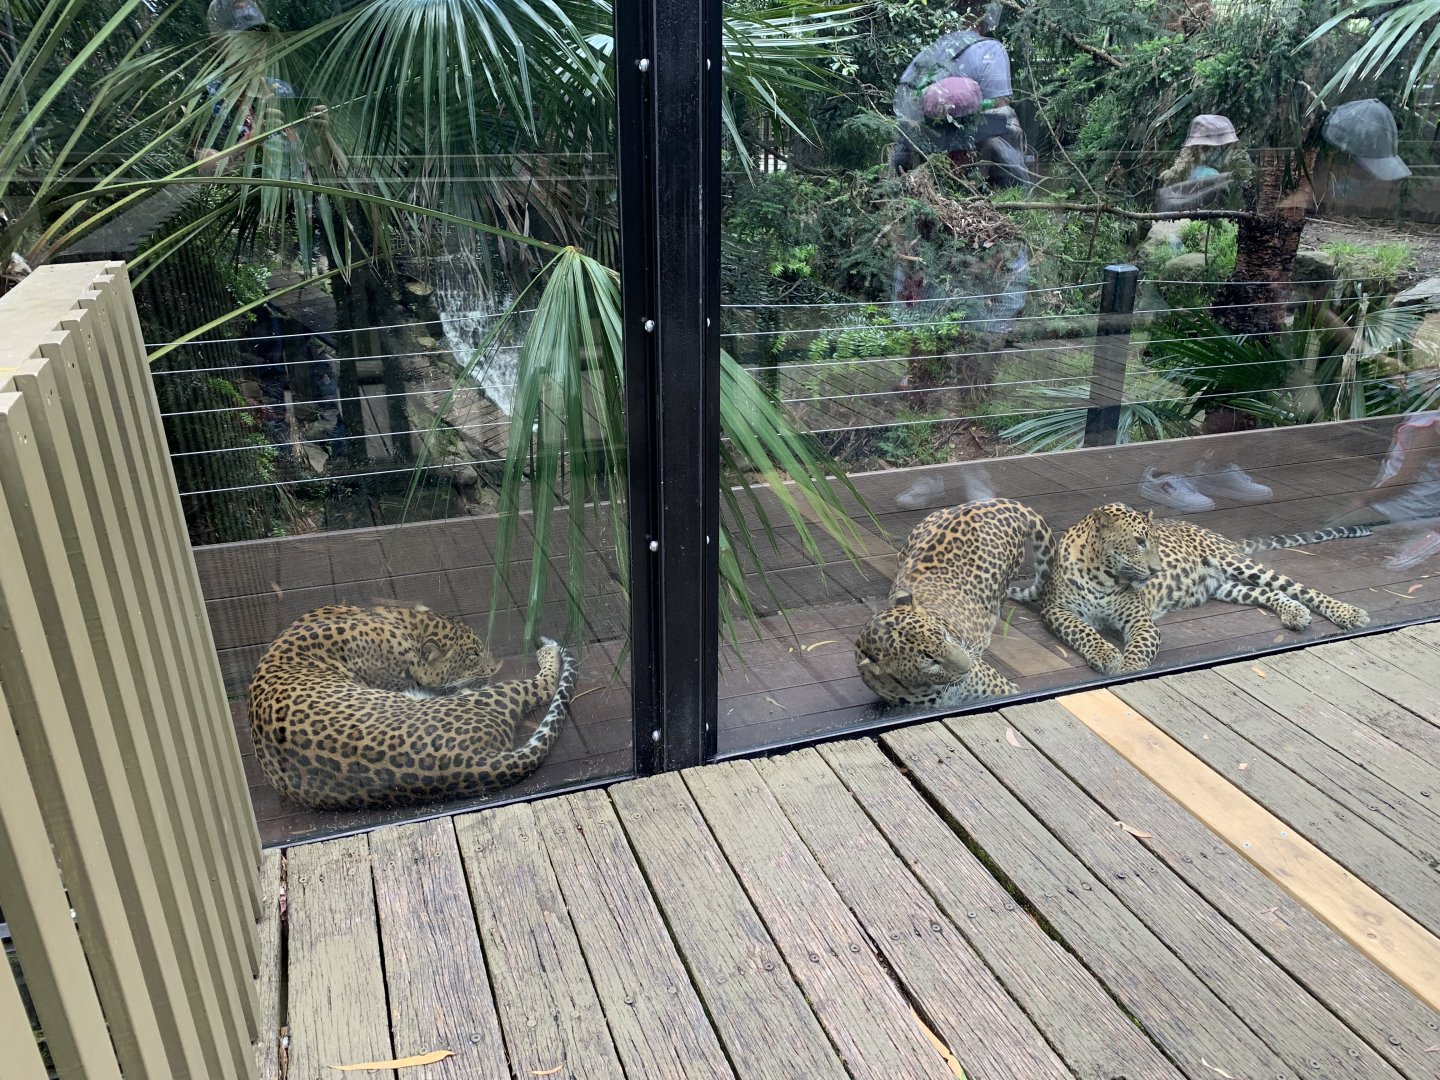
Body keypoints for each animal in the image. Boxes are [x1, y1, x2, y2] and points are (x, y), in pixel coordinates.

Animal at [248, 604, 579, 811]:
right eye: (473, 654)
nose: (494, 666)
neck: (403, 624)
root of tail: (471, 761)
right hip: (487, 697)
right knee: (543, 685)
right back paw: (547, 651)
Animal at [855, 498, 1056, 707]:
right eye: (931, 661)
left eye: (944, 635)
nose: (968, 666)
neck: (925, 691)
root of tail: (999, 502)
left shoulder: (1005, 690)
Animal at [1025, 502, 1372, 676]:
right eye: (1138, 541)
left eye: (1155, 541)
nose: (1157, 570)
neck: (1101, 574)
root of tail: (1217, 534)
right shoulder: (1056, 610)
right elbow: (1082, 630)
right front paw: (1105, 653)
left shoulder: (1140, 620)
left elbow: (1138, 648)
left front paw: (1128, 668)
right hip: (1226, 587)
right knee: (1271, 593)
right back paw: (1295, 613)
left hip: (1236, 563)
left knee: (1298, 587)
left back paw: (1349, 613)